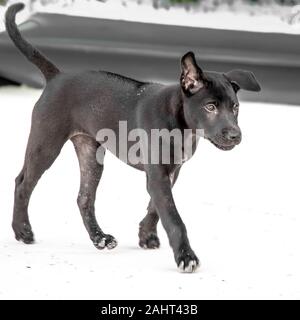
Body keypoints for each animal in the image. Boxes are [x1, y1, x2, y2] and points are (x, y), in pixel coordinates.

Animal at [6, 3, 260, 272]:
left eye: (235, 107)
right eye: (210, 107)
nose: (235, 135)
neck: (180, 123)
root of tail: (57, 76)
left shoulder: (170, 171)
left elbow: (155, 208)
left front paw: (146, 235)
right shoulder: (158, 174)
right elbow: (173, 216)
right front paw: (185, 256)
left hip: (91, 154)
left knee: (84, 198)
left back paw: (100, 238)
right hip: (46, 144)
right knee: (22, 183)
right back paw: (22, 231)